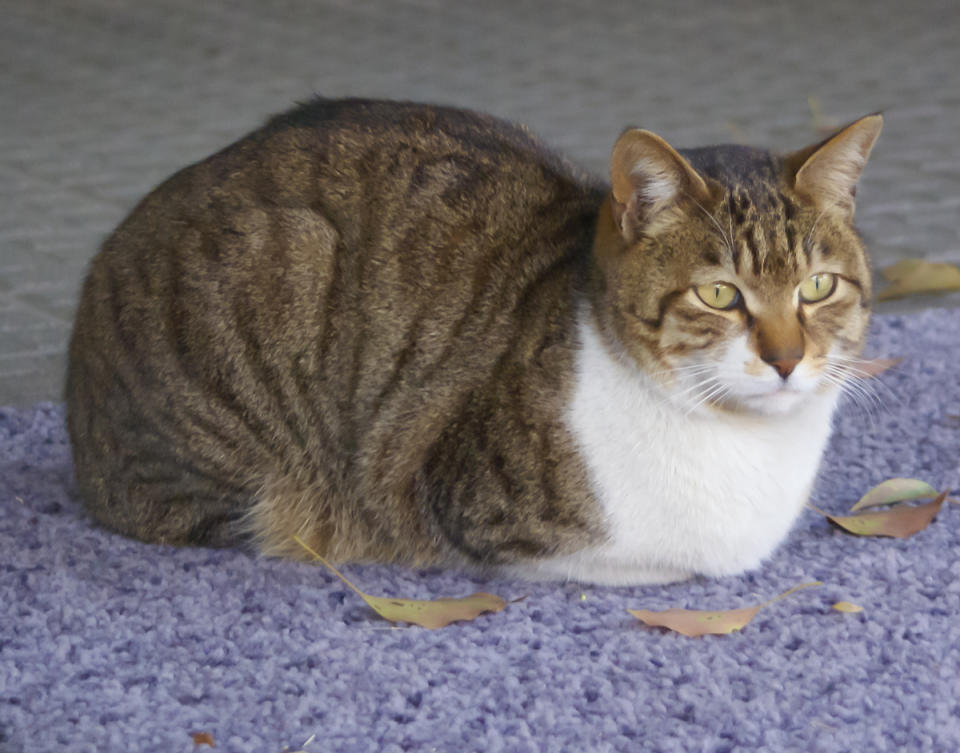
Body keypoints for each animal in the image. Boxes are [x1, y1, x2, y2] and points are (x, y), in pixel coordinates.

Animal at [63, 97, 880, 584]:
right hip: (282, 280)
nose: (786, 359)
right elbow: (644, 562)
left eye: (817, 287)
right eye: (719, 294)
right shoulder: (489, 515)